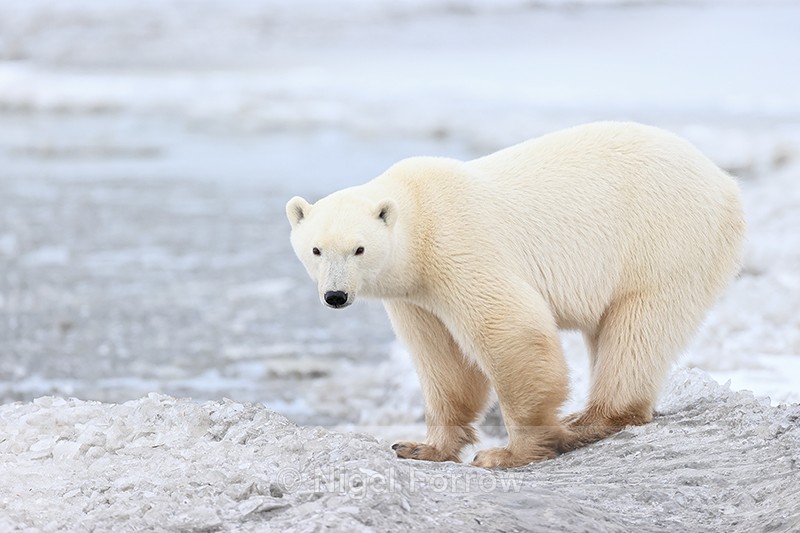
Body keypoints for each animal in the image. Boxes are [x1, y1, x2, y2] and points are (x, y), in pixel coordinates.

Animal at [285, 121, 745, 468]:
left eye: (359, 249)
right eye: (316, 249)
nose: (336, 295)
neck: (418, 216)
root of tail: (724, 183)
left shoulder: (459, 247)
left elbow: (510, 330)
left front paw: (507, 453)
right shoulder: (415, 294)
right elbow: (442, 360)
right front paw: (420, 447)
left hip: (662, 240)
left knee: (637, 327)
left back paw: (589, 421)